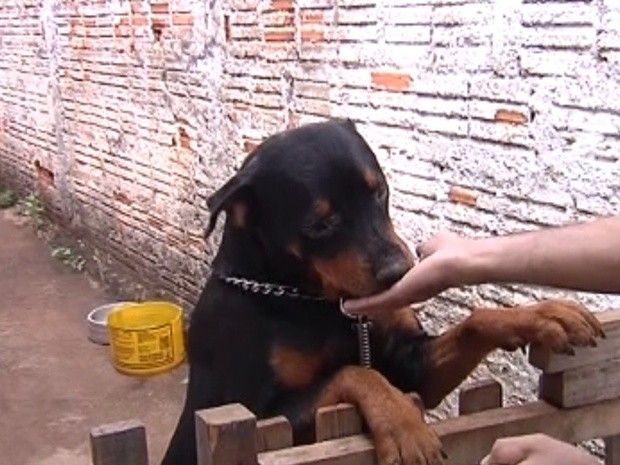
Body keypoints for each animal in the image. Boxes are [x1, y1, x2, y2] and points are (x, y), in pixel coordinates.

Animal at [162, 118, 604, 464]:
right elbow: (356, 373)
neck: (305, 299)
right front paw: (404, 427)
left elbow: (475, 321)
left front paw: (544, 315)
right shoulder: (261, 415)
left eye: (380, 191)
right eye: (320, 224)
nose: (399, 272)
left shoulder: (416, 367)